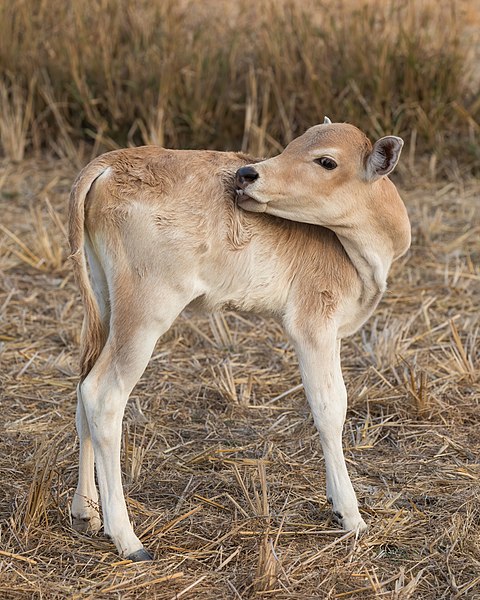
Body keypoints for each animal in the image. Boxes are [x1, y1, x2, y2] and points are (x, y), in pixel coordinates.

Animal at [68, 119, 412, 560]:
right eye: (293, 147)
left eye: (326, 161)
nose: (247, 174)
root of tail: (112, 162)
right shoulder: (312, 322)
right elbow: (330, 408)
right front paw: (349, 514)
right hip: (146, 309)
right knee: (103, 395)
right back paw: (127, 538)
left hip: (104, 298)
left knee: (83, 387)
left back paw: (85, 512)